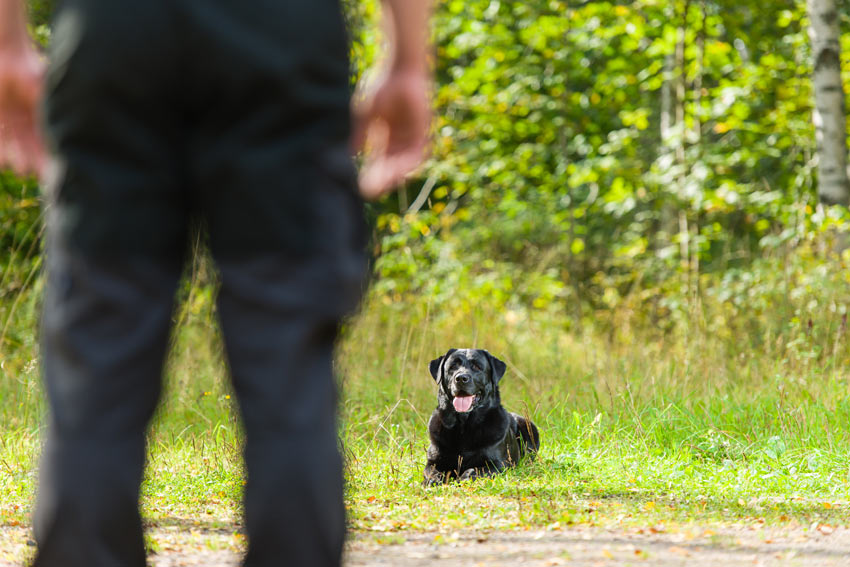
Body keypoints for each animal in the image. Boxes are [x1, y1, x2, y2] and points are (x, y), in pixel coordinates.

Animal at [422, 348, 536, 486]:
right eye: (453, 366)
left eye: (477, 366)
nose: (461, 378)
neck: (464, 425)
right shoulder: (433, 461)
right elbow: (433, 471)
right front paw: (432, 480)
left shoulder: (498, 464)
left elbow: (474, 470)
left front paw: (463, 478)